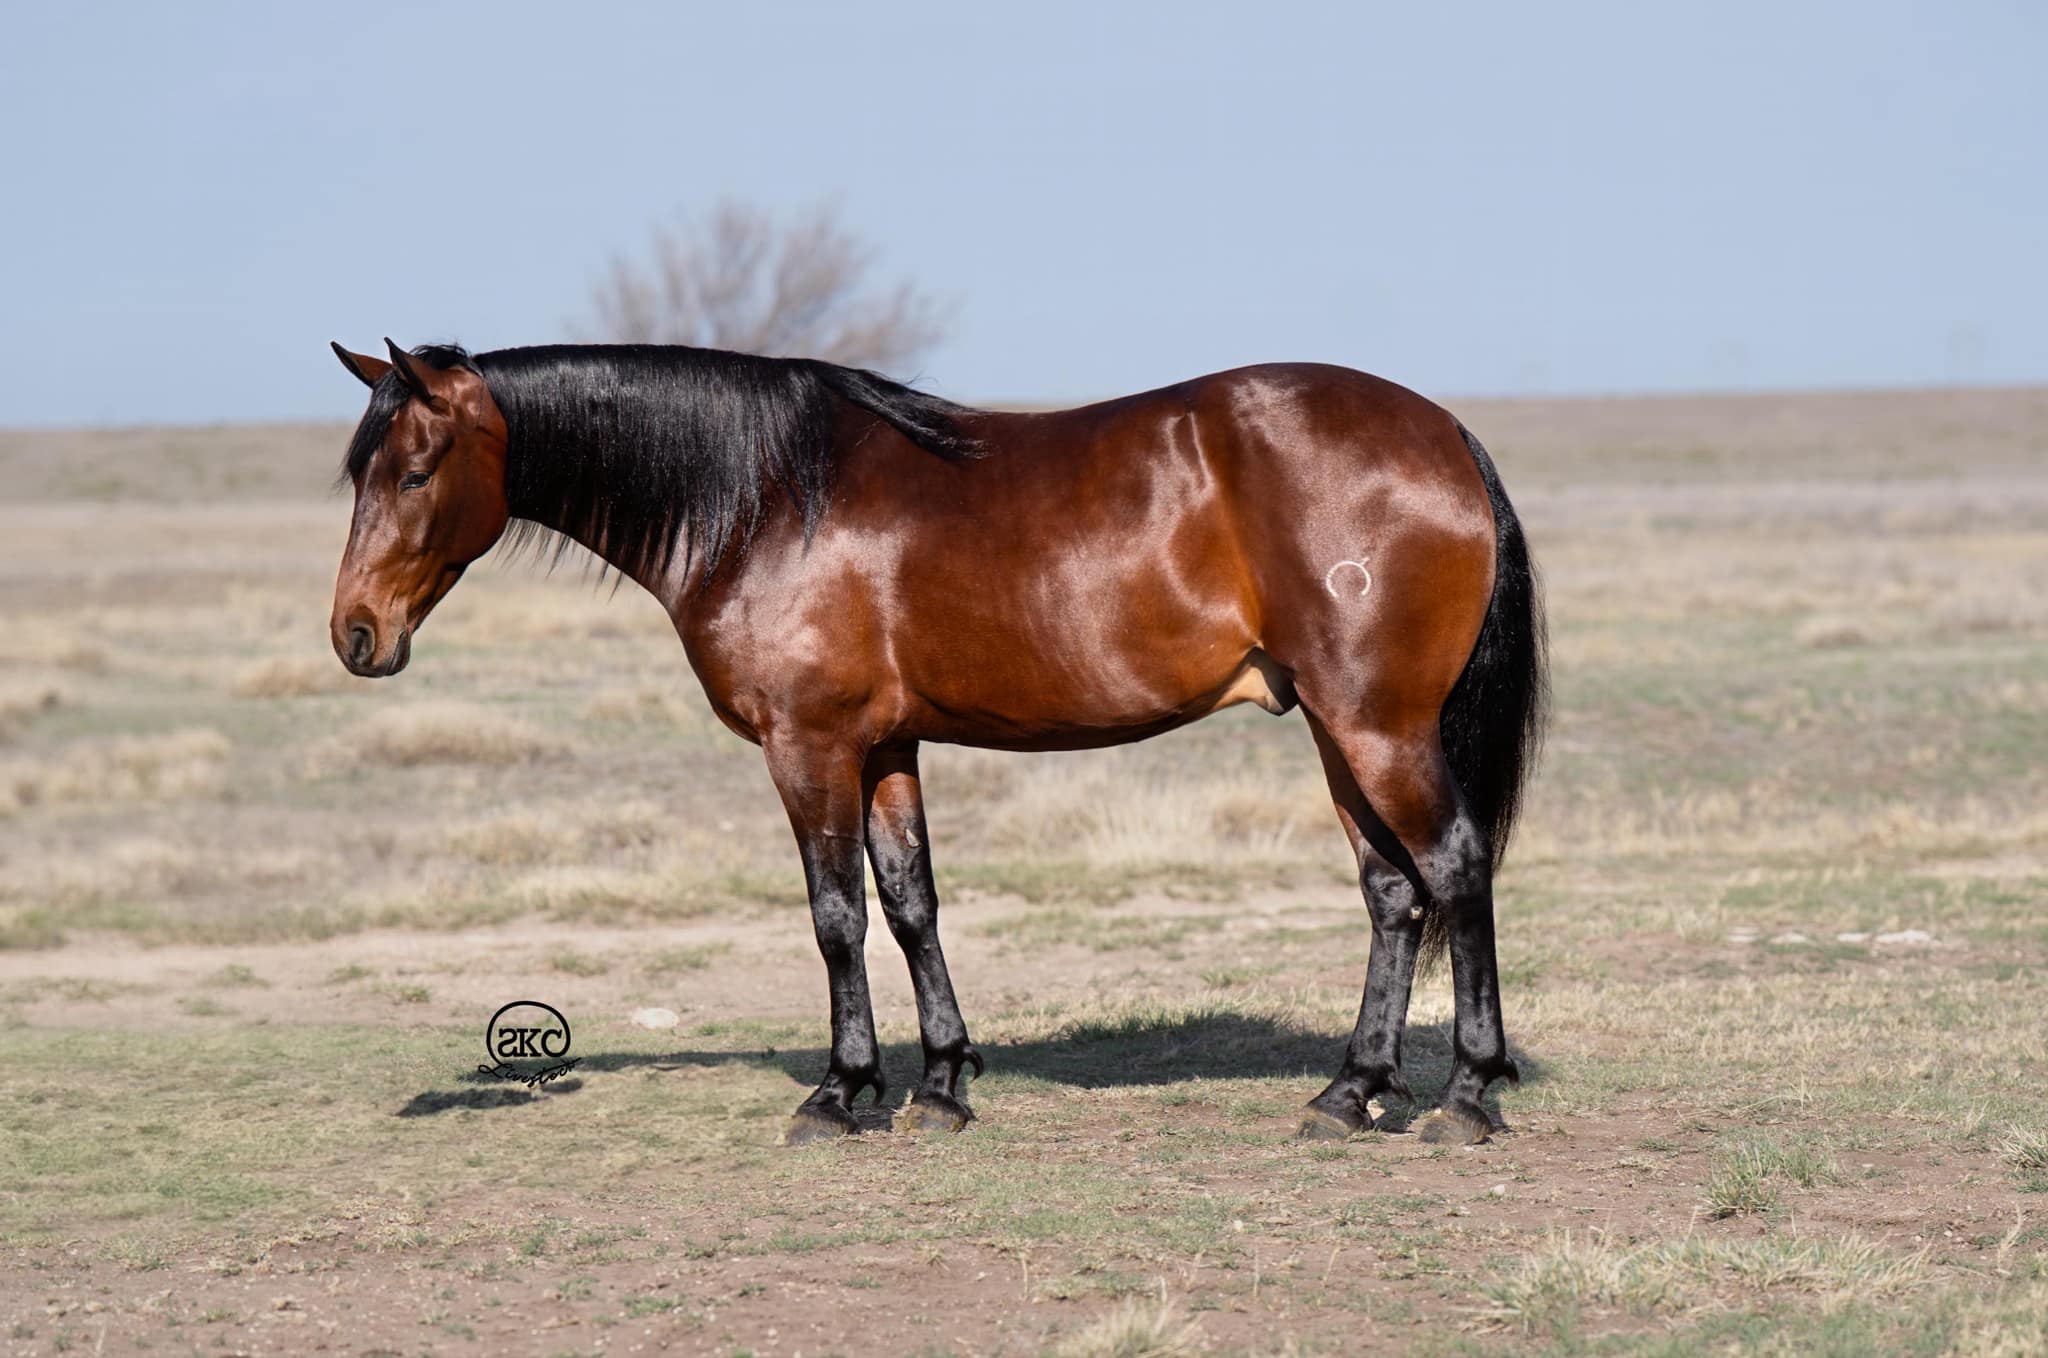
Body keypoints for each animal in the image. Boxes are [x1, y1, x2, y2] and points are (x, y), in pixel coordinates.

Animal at [327, 338, 1546, 1146]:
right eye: (360, 471)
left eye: (415, 471)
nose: (356, 633)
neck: (768, 498)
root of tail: (1443, 432)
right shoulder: (886, 749)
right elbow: (910, 902)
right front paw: (943, 1081)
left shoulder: (808, 747)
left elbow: (835, 916)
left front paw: (839, 1091)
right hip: (1341, 732)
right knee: (1392, 895)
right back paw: (1350, 1090)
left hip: (1378, 726)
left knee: (1452, 868)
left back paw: (1464, 1094)